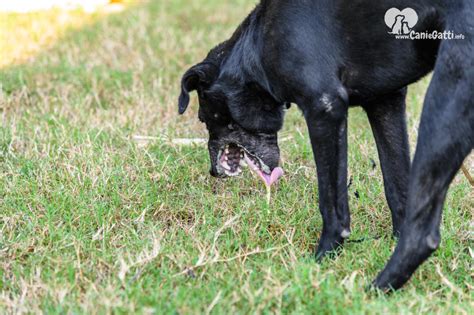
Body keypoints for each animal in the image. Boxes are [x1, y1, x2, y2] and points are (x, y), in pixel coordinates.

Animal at [179, 0, 474, 292]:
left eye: (204, 118)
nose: (212, 172)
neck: (255, 46)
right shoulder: (385, 102)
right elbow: (397, 188)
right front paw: (391, 238)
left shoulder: (325, 108)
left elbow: (331, 202)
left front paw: (323, 257)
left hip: (444, 101)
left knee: (423, 234)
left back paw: (376, 288)